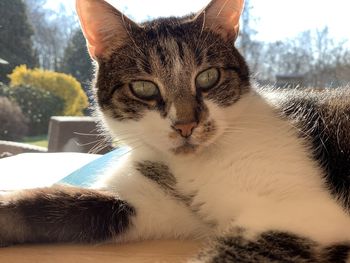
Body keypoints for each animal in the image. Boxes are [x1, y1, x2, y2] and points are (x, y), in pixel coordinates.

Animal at [0, 0, 350, 262]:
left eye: (208, 77)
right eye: (144, 87)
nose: (185, 125)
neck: (191, 165)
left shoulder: (297, 212)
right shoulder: (144, 201)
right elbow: (47, 203)